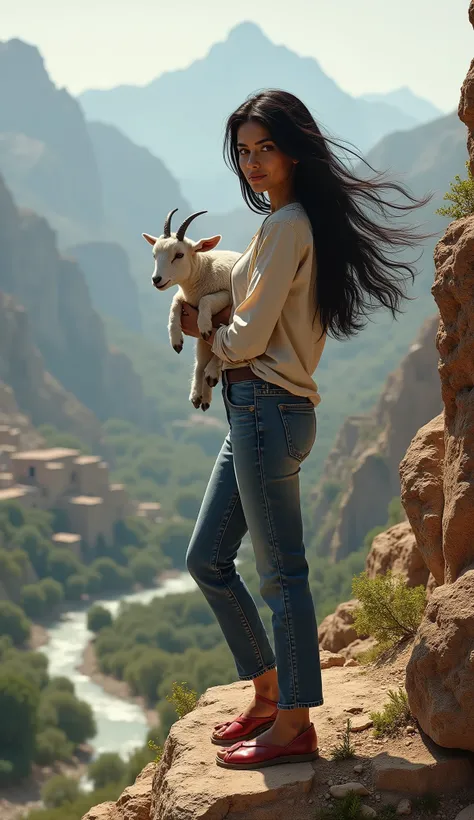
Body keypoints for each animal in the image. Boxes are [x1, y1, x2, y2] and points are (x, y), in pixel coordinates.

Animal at [142, 205, 241, 410]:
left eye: (179, 255)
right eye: (154, 255)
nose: (156, 280)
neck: (204, 271)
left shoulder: (226, 295)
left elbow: (206, 301)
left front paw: (203, 325)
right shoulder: (185, 297)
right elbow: (174, 304)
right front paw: (176, 341)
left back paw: (211, 374)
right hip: (203, 343)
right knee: (201, 361)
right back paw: (199, 397)